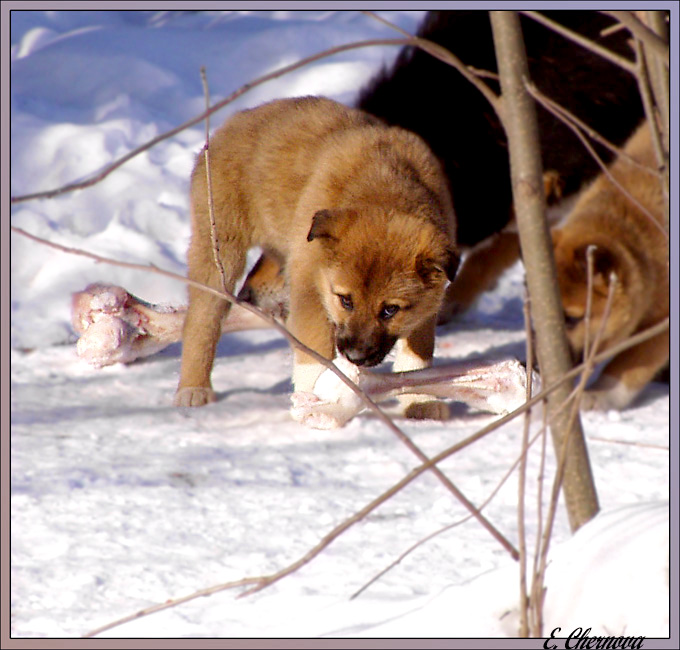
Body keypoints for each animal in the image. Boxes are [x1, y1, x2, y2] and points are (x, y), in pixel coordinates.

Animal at [175, 96, 460, 420]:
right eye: (345, 300)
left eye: (390, 310)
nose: (355, 357)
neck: (385, 188)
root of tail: (234, 121)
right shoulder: (310, 289)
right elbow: (314, 355)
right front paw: (315, 401)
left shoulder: (428, 305)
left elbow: (417, 358)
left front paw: (420, 401)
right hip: (220, 249)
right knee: (201, 321)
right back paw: (193, 388)